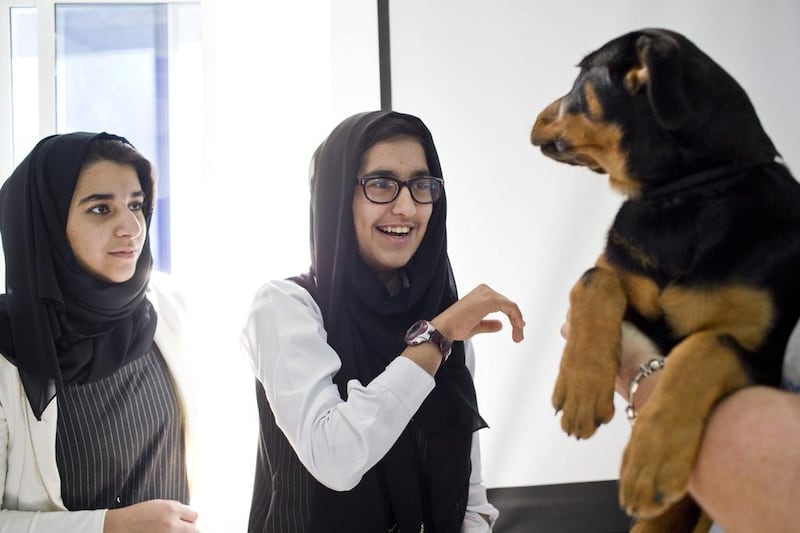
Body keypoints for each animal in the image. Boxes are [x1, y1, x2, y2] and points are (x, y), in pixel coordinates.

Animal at [536, 27, 800, 528]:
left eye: (581, 75)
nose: (538, 114)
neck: (685, 196)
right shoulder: (619, 269)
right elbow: (594, 279)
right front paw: (581, 390)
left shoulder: (763, 357)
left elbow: (704, 346)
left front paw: (651, 459)